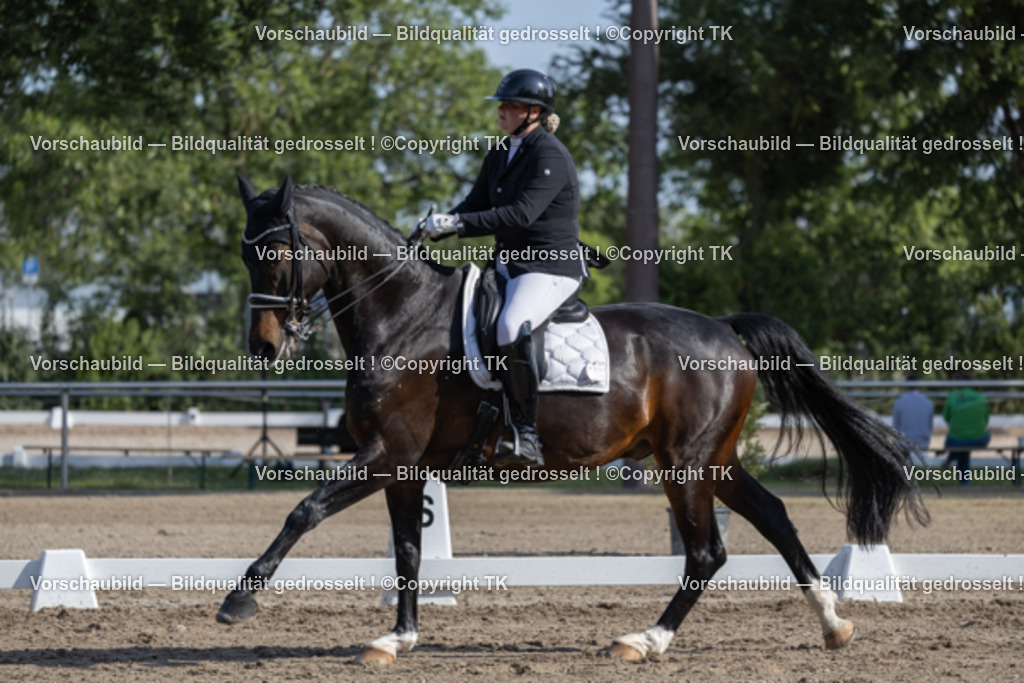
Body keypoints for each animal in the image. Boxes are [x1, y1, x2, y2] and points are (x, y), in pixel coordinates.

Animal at [218, 174, 928, 664]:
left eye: (274, 253)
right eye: (244, 254)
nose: (263, 348)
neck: (404, 317)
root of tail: (725, 329)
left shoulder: (387, 453)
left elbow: (304, 511)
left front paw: (239, 599)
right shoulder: (403, 466)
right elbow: (410, 552)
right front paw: (397, 639)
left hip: (685, 464)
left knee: (707, 551)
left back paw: (645, 640)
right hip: (712, 460)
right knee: (775, 518)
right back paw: (834, 623)